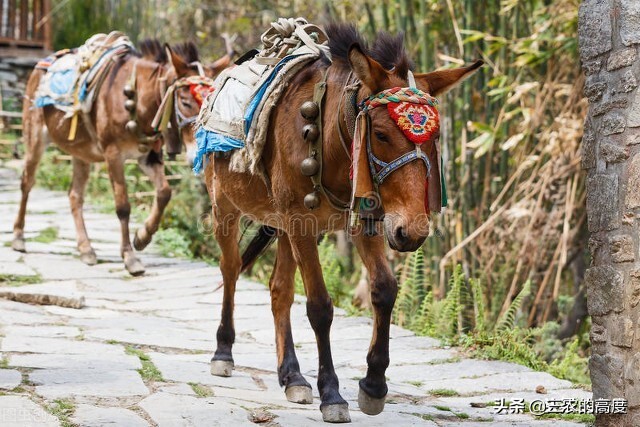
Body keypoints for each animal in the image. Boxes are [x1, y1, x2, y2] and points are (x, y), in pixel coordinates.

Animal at [11, 33, 235, 276]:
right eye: (185, 102)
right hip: (34, 136)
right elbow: (123, 206)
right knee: (27, 182)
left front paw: (142, 237)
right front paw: (130, 257)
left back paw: (86, 248)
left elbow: (164, 193)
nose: (200, 153)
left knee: (74, 195)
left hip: (81, 151)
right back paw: (18, 237)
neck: (137, 97)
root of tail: (41, 65)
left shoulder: (148, 155)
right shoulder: (113, 154)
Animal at [201, 24, 480, 424]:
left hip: (284, 225)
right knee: (230, 268)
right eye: (380, 134)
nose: (413, 232)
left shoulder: (367, 219)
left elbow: (384, 289)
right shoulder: (303, 223)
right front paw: (332, 394)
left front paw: (374, 385)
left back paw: (292, 376)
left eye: (436, 137)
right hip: (226, 205)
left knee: (279, 290)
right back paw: (223, 351)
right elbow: (320, 306)